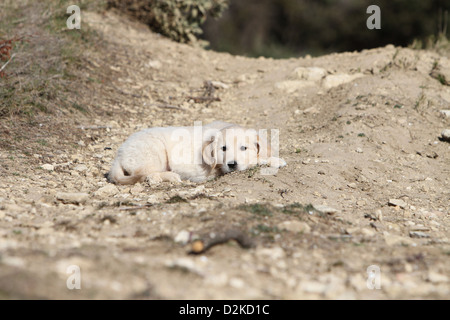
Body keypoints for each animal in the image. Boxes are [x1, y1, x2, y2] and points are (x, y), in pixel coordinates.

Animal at [107, 120, 286, 185]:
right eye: (223, 148)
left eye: (244, 148)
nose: (232, 165)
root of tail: (119, 154)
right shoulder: (211, 170)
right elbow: (255, 161)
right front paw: (275, 160)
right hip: (154, 151)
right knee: (148, 174)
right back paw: (170, 176)